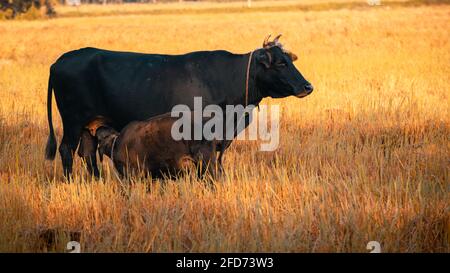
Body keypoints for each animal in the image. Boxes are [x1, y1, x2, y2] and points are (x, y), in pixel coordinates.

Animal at [44, 35, 312, 176]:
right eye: (280, 64)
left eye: (289, 60)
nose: (307, 86)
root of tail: (61, 61)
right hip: (72, 122)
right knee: (67, 150)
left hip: (90, 125)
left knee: (87, 153)